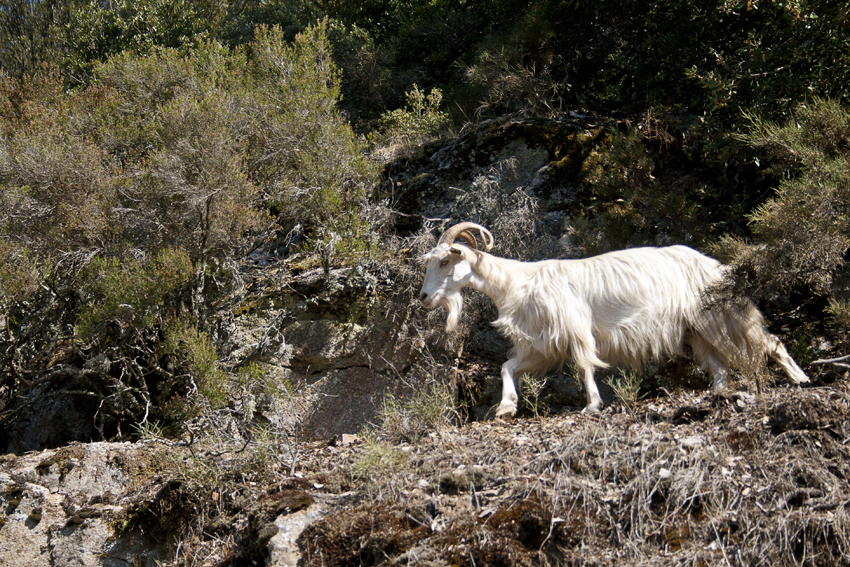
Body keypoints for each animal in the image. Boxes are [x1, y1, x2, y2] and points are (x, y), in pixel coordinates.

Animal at [418, 222, 808, 418]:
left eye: (445, 261)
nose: (423, 298)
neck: (518, 282)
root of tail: (717, 266)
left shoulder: (572, 329)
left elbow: (584, 365)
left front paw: (592, 404)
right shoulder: (540, 345)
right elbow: (507, 367)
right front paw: (506, 407)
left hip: (723, 316)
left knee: (770, 341)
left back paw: (800, 379)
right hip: (697, 330)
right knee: (720, 368)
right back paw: (719, 395)